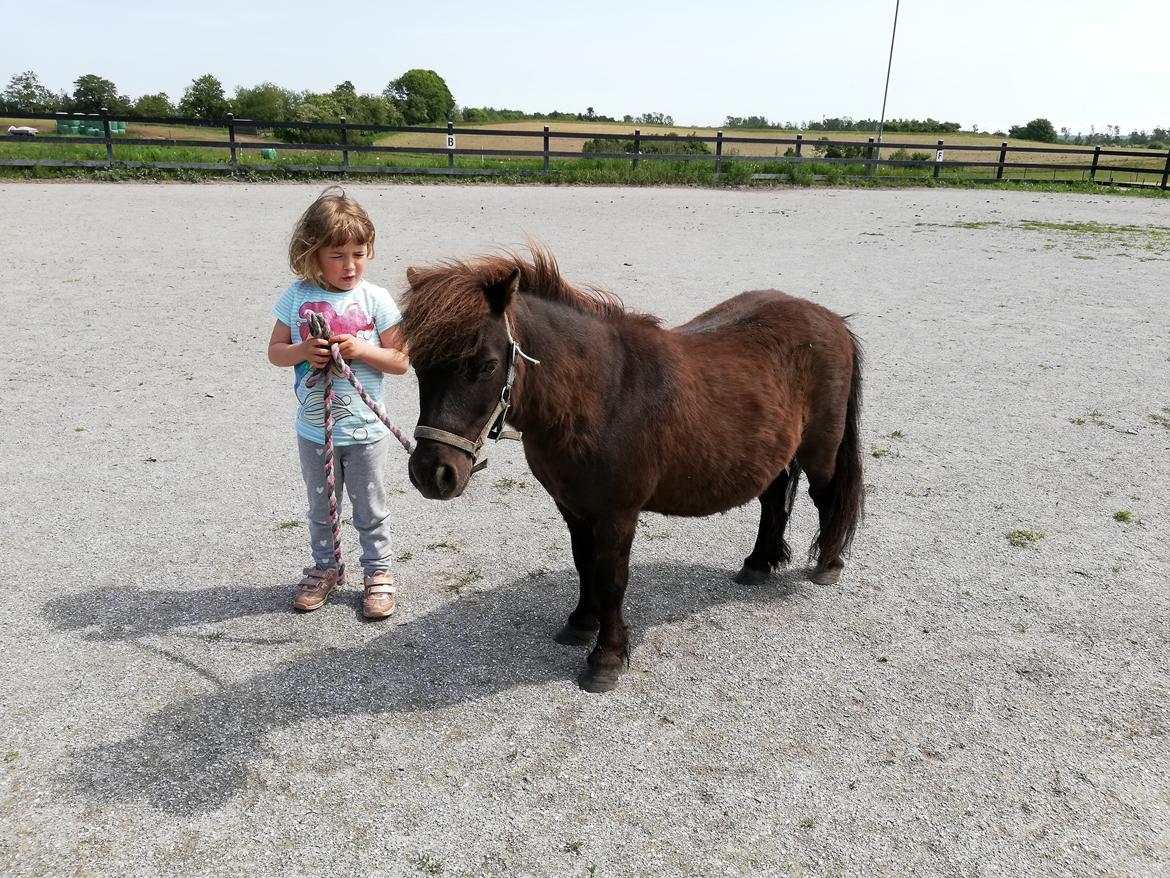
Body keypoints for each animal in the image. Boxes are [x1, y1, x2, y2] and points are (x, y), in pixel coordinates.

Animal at [402, 248, 861, 693]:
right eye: (418, 365)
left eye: (485, 365)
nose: (432, 473)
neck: (601, 396)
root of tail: (829, 319)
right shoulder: (572, 507)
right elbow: (585, 564)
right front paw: (580, 623)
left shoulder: (617, 515)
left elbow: (611, 579)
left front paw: (605, 659)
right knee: (773, 498)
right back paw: (758, 564)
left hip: (820, 451)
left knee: (825, 496)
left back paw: (828, 565)